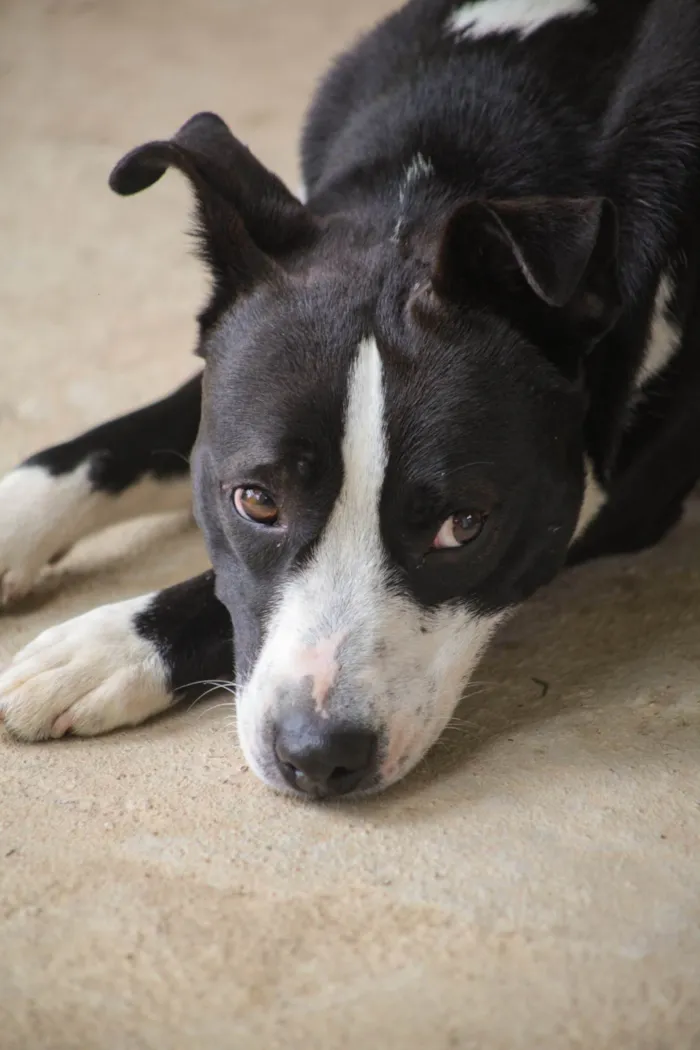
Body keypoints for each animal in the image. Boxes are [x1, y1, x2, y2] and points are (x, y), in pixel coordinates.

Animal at [1, 0, 700, 797]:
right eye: (256, 501)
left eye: (465, 526)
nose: (318, 756)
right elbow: (123, 439)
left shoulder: (624, 498)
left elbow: (209, 589)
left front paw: (104, 648)